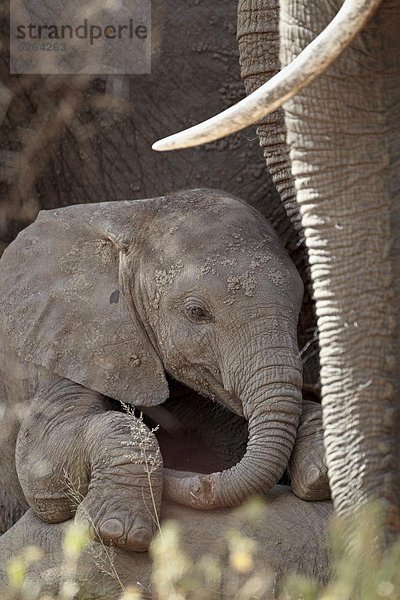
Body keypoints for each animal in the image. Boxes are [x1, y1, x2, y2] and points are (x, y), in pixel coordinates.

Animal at [0, 190, 328, 552]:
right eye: (197, 312)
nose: (200, 485)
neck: (133, 217)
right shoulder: (66, 336)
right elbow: (39, 463)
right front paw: (117, 533)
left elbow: (223, 433)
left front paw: (320, 472)